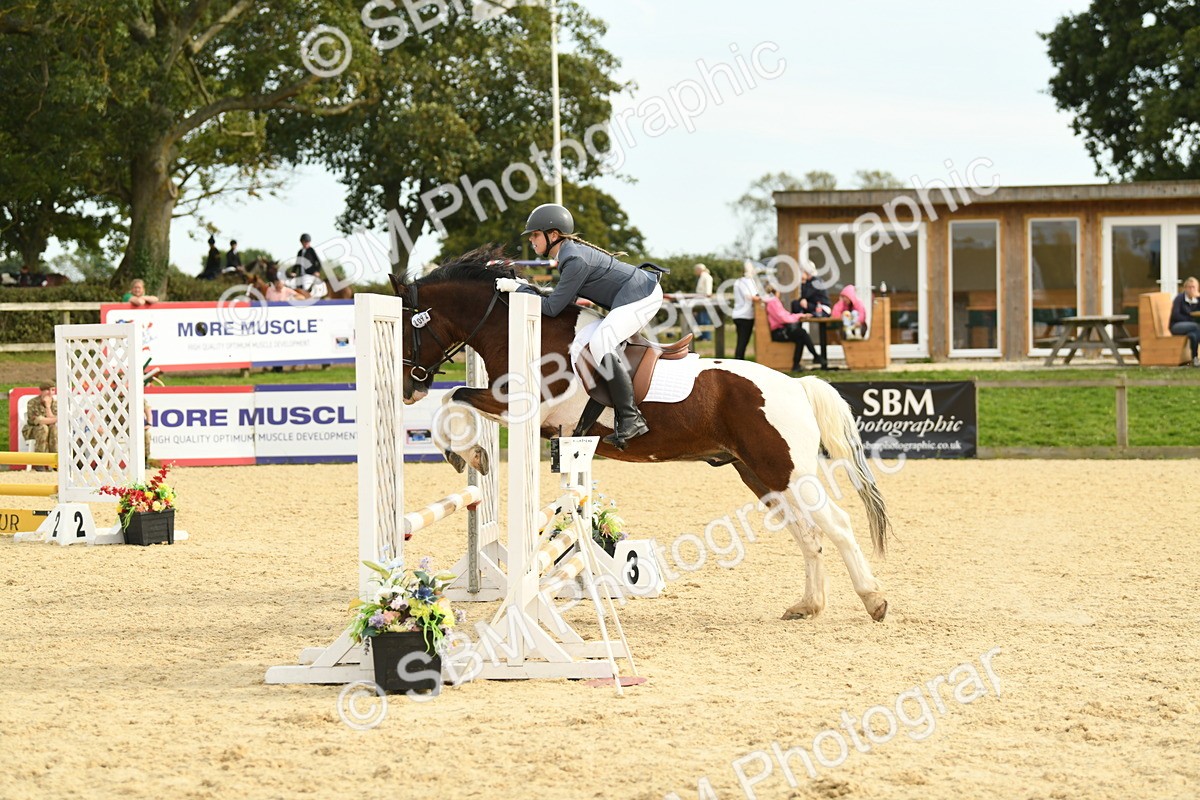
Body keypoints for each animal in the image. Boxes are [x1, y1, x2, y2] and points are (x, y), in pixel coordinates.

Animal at [388, 248, 893, 623]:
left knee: (838, 526)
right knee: (809, 535)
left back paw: (874, 600)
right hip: (760, 475)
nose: (408, 389)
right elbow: (458, 400)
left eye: (408, 327)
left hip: (788, 471)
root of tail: (795, 385)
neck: (514, 329)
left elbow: (455, 398)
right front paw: (470, 453)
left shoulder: (519, 406)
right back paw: (808, 606)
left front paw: (467, 454)